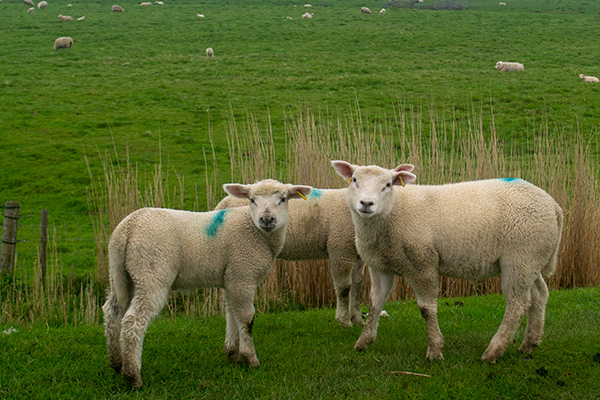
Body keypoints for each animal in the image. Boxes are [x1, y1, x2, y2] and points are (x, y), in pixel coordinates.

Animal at [102, 179, 314, 388]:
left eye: (283, 199)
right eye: (252, 200)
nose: (267, 220)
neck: (255, 232)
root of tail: (128, 227)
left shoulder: (232, 279)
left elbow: (231, 314)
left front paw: (233, 354)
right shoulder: (243, 275)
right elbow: (247, 318)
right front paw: (250, 358)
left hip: (122, 274)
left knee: (112, 312)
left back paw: (116, 362)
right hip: (151, 272)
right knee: (133, 321)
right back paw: (133, 375)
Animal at [216, 188, 366, 328]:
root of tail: (225, 201)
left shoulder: (357, 255)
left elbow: (357, 285)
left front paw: (358, 320)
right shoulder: (341, 249)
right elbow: (344, 288)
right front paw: (344, 321)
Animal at [332, 161, 564, 364]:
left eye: (388, 184)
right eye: (354, 180)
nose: (366, 204)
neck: (393, 212)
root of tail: (553, 205)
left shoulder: (423, 263)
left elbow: (426, 309)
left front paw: (435, 350)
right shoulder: (380, 266)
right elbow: (375, 303)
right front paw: (363, 342)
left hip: (519, 258)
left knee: (517, 304)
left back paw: (492, 352)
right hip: (531, 260)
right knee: (539, 294)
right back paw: (529, 343)